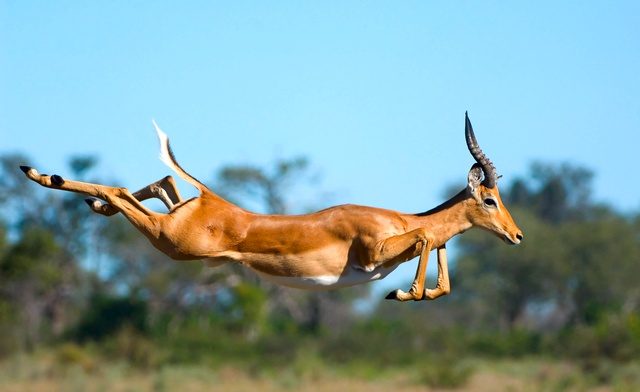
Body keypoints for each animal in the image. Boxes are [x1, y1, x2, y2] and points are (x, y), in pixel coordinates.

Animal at [20, 112, 524, 302]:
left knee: (162, 181)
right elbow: (425, 239)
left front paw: (406, 293)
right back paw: (39, 174)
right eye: (490, 199)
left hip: (174, 225)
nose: (517, 236)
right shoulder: (374, 252)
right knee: (121, 191)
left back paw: (78, 196)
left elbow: (442, 265)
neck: (395, 217)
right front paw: (405, 293)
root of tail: (214, 201)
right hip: (173, 242)